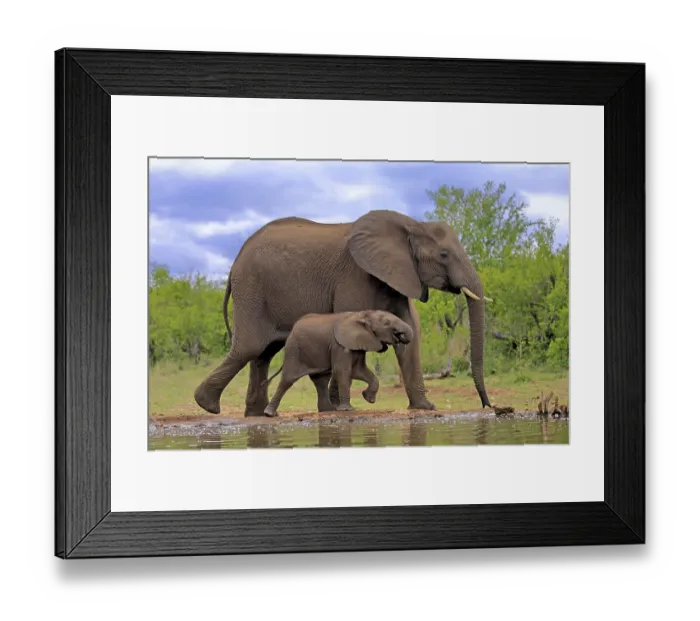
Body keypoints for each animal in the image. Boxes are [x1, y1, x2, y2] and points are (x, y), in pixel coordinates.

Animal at [262, 310, 413, 417]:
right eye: (386, 323)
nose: (401, 337)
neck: (362, 314)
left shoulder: (357, 345)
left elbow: (359, 371)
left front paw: (368, 398)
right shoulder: (339, 345)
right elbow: (343, 371)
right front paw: (348, 410)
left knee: (321, 380)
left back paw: (328, 411)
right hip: (294, 349)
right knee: (288, 379)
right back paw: (270, 414)